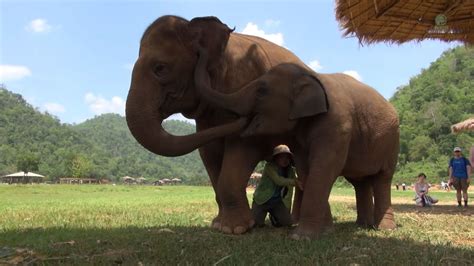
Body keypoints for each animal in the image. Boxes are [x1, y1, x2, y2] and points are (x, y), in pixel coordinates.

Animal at [126, 15, 306, 235]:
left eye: (160, 68)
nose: (246, 117)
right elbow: (209, 153)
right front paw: (219, 225)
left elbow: (242, 148)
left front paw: (235, 229)